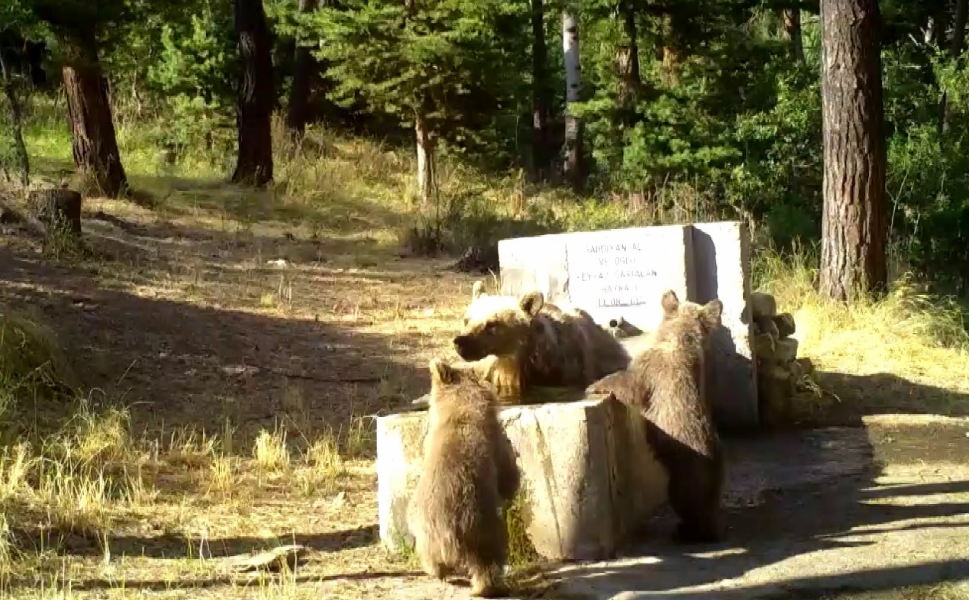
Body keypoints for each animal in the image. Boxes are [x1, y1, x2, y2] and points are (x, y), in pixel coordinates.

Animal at [404, 356, 520, 596]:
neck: (462, 409)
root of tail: (449, 533)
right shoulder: (496, 442)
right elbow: (508, 474)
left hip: (430, 525)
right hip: (476, 523)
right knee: (487, 559)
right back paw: (485, 586)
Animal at [588, 290, 724, 544]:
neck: (680, 340)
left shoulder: (652, 372)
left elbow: (629, 383)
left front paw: (595, 384)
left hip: (686, 475)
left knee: (688, 504)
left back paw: (687, 531)